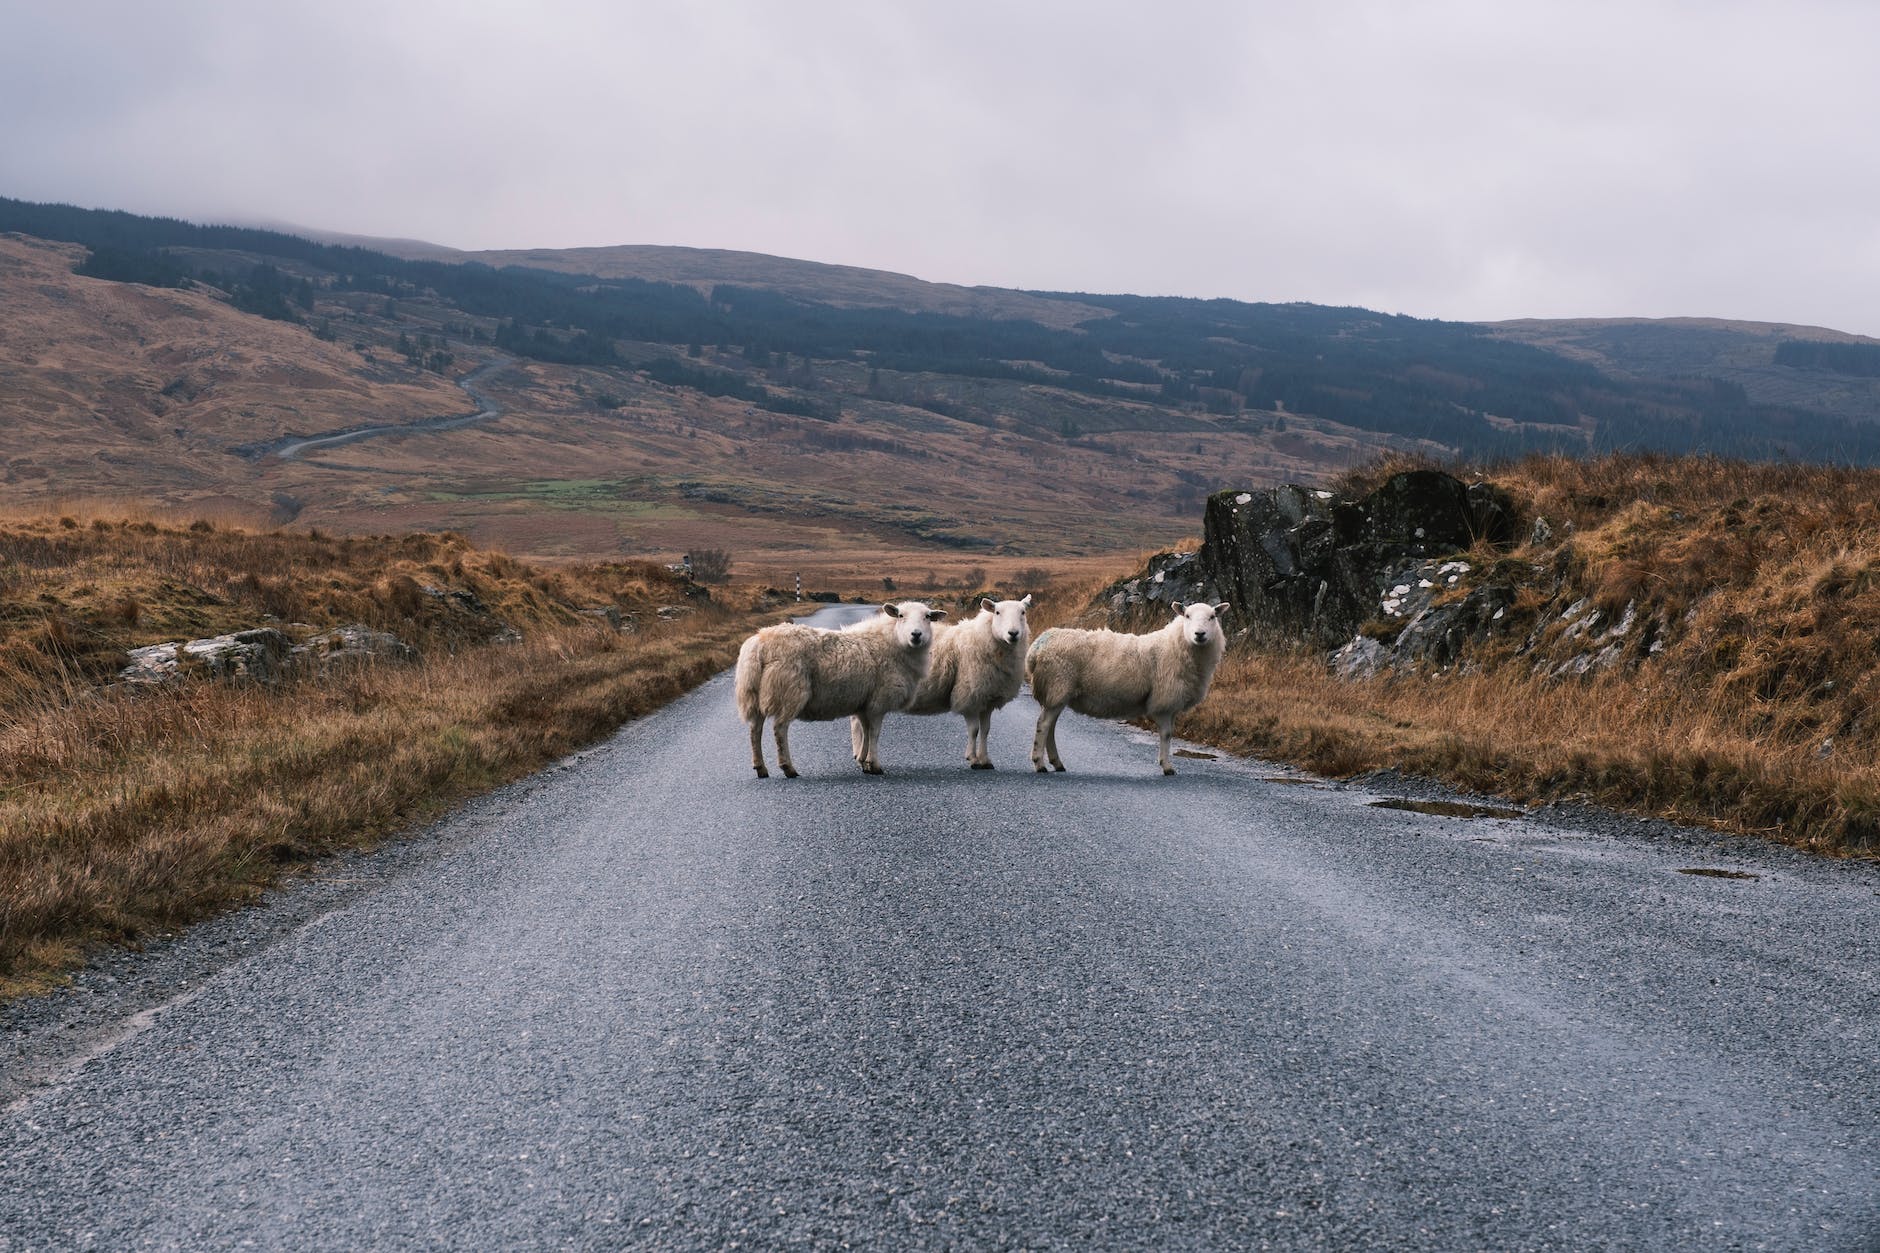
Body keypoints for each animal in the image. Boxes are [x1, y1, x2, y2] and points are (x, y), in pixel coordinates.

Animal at [729, 602, 940, 775]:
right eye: (901, 615)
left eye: (928, 616)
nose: (916, 634)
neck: (892, 642)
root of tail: (760, 642)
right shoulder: (878, 702)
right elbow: (874, 733)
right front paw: (875, 765)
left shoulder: (863, 703)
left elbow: (864, 730)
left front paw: (863, 762)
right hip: (789, 691)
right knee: (779, 728)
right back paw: (788, 768)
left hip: (753, 693)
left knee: (755, 729)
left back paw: (760, 768)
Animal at [872, 594, 1037, 767]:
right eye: (997, 612)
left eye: (1023, 612)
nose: (1013, 633)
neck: (983, 639)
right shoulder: (969, 695)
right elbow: (974, 730)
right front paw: (973, 759)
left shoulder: (988, 699)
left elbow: (986, 730)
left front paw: (985, 760)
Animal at [1022, 598, 1225, 771]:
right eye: (1187, 616)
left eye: (1212, 617)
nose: (1200, 634)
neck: (1175, 646)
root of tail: (1037, 647)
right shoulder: (1164, 701)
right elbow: (1166, 734)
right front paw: (1167, 767)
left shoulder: (1171, 703)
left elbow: (1169, 734)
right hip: (1057, 686)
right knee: (1043, 724)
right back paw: (1039, 763)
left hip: (1056, 692)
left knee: (1050, 726)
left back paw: (1056, 763)